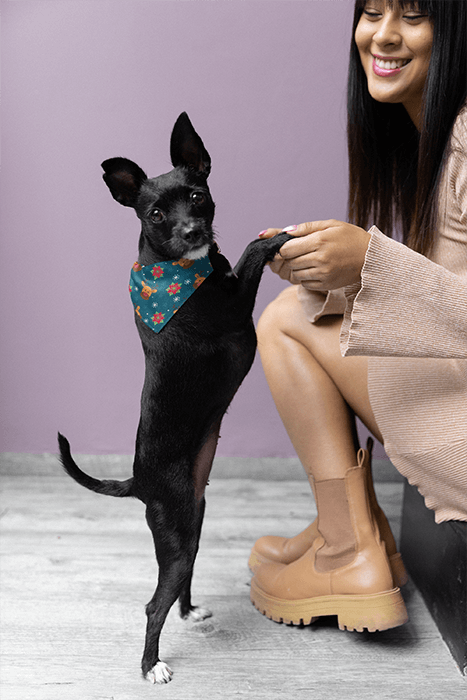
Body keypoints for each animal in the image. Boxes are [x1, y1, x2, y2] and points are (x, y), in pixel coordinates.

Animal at [57, 113, 292, 684]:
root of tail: (138, 481)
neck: (175, 267)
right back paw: (151, 665)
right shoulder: (235, 308)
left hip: (192, 525)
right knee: (152, 605)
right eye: (156, 214)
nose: (192, 231)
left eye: (198, 195)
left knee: (177, 585)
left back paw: (189, 611)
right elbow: (252, 253)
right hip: (178, 536)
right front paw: (278, 237)